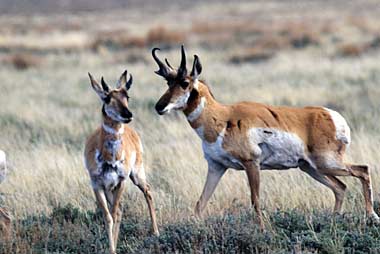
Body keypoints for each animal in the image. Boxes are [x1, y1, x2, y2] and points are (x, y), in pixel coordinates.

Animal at [84, 70, 159, 253]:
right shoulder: (97, 185)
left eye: (127, 96)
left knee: (147, 191)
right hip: (111, 188)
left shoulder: (121, 182)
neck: (109, 158)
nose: (128, 115)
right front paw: (112, 248)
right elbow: (108, 217)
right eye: (107, 98)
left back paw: (156, 232)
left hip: (136, 175)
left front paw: (113, 248)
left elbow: (115, 214)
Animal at [152, 45, 380, 228]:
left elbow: (255, 200)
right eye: (167, 83)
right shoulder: (217, 167)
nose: (158, 107)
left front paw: (262, 230)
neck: (222, 118)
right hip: (311, 168)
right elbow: (200, 203)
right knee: (340, 187)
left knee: (363, 170)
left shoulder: (251, 163)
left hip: (327, 163)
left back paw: (371, 217)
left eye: (184, 82)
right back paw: (335, 221)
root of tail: (331, 115)